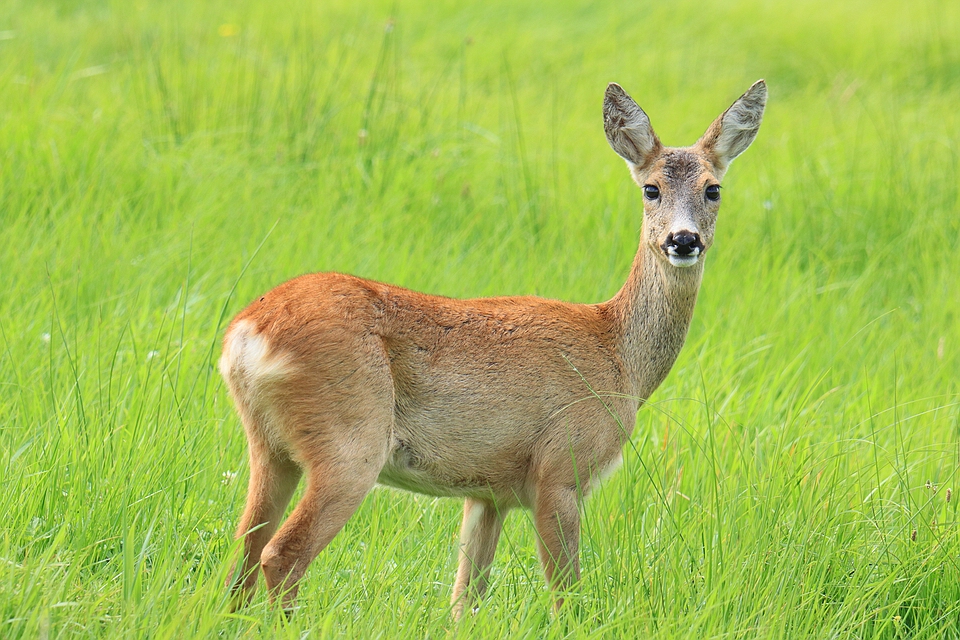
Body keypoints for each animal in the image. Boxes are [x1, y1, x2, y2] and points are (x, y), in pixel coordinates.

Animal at [218, 79, 764, 616]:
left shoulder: (488, 493)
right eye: (651, 188)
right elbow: (567, 598)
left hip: (271, 447)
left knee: (242, 556)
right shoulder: (559, 470)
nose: (683, 240)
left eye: (713, 189)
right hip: (350, 440)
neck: (619, 354)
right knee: (281, 554)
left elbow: (465, 601)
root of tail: (247, 333)